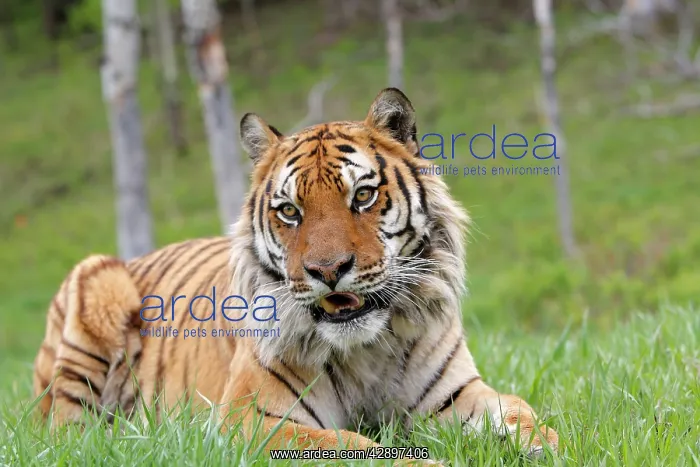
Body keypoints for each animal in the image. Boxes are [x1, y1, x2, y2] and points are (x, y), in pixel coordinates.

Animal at [32, 88, 558, 460]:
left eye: (362, 196)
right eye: (289, 211)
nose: (328, 270)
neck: (367, 349)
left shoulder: (455, 397)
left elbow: (521, 410)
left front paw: (545, 445)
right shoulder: (251, 419)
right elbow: (351, 446)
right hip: (96, 287)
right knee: (65, 434)